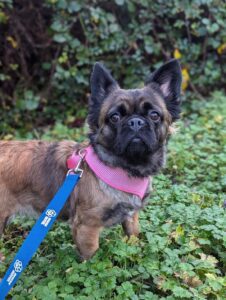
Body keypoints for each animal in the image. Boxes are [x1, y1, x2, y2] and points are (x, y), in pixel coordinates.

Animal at [0, 59, 182, 260]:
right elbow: (92, 258)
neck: (122, 169)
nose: (135, 122)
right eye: (114, 117)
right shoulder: (87, 228)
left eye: (154, 115)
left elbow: (133, 238)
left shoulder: (131, 218)